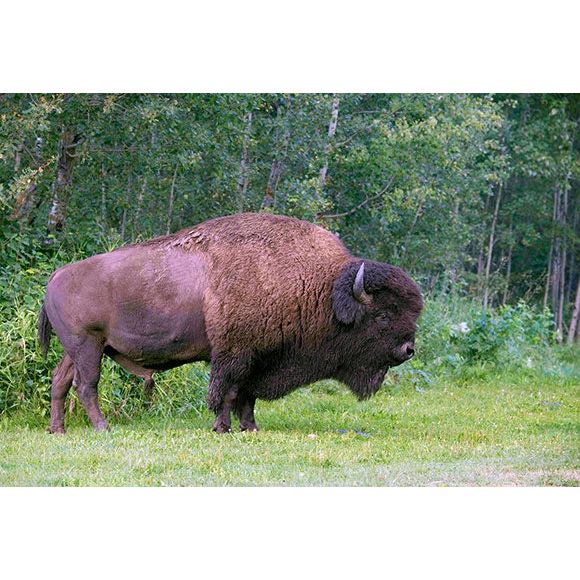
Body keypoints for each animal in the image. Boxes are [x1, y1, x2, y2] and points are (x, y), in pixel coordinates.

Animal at [38, 211, 424, 432]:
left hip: (77, 349)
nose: (408, 349)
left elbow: (246, 396)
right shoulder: (235, 354)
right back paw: (102, 428)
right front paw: (222, 427)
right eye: (383, 315)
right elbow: (227, 392)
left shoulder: (259, 357)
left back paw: (58, 430)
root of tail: (56, 275)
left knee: (60, 381)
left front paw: (249, 427)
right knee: (86, 386)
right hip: (89, 346)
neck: (319, 287)